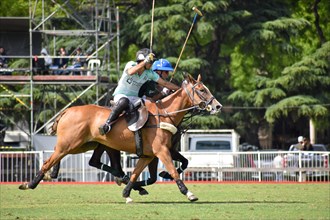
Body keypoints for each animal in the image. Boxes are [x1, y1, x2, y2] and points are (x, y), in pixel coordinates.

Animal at [18, 74, 222, 203]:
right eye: (202, 90)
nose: (217, 106)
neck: (165, 114)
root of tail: (67, 110)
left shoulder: (149, 154)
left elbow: (137, 173)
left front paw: (128, 192)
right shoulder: (161, 151)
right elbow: (173, 170)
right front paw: (189, 193)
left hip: (84, 145)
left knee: (88, 161)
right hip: (70, 144)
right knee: (48, 161)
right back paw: (30, 184)